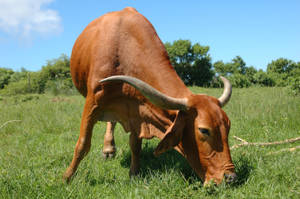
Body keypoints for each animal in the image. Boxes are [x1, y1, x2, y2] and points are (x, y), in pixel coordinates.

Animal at [63, 7, 237, 185]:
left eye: (228, 126)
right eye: (203, 130)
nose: (230, 177)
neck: (124, 49)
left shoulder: (137, 111)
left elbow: (135, 144)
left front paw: (134, 173)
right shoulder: (93, 101)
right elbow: (83, 144)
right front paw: (67, 177)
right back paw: (107, 150)